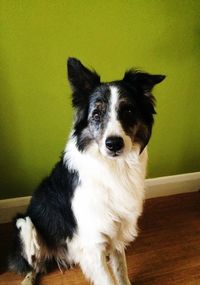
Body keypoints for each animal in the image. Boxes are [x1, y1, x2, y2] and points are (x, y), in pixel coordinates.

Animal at [8, 58, 165, 284]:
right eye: (96, 114)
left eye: (128, 111)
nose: (113, 144)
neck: (113, 167)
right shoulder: (93, 245)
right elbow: (108, 279)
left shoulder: (117, 233)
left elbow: (121, 270)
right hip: (25, 224)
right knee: (33, 266)